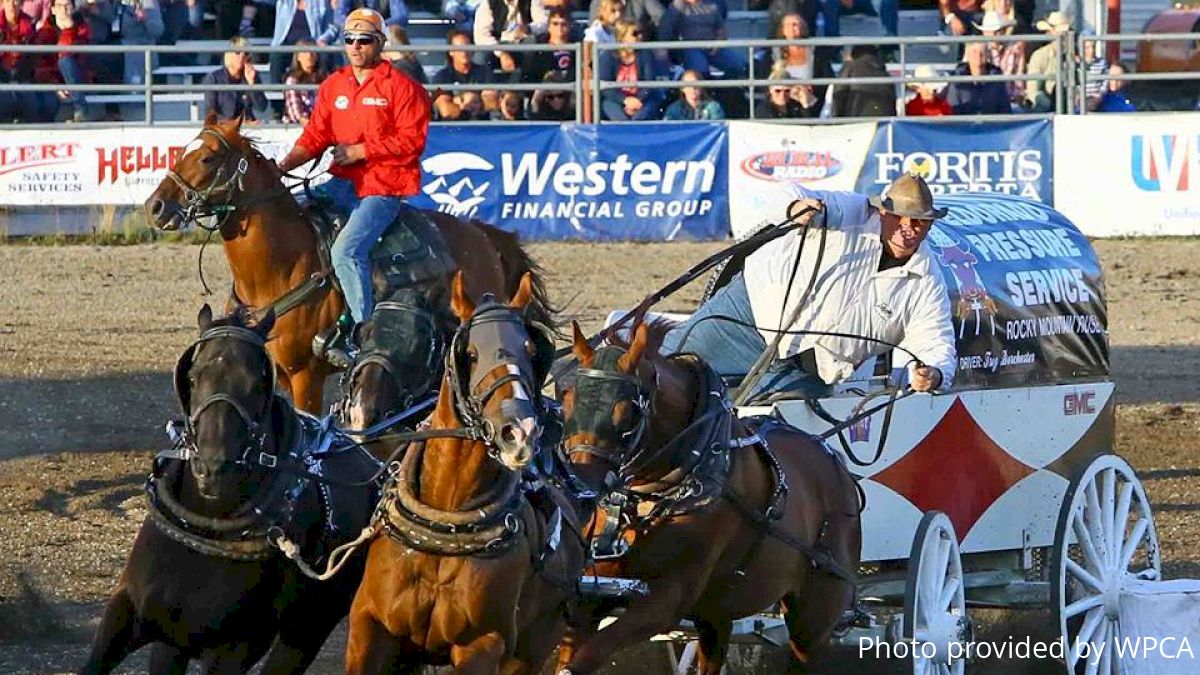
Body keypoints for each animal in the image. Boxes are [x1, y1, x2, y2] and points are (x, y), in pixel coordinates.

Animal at [81, 305, 374, 672]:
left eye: (258, 382)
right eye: (193, 377)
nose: (214, 468)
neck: (209, 527)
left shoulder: (235, 649)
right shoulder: (133, 616)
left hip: (306, 629)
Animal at [144, 112, 544, 413]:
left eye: (207, 158)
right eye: (181, 151)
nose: (155, 207)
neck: (281, 269)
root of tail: (481, 235)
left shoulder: (305, 375)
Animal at [345, 270, 588, 667]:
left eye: (531, 351)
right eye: (471, 354)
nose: (519, 431)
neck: (447, 521)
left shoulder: (482, 643)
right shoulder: (369, 626)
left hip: (535, 642)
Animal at [556, 314, 868, 672]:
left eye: (628, 413)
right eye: (566, 401)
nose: (581, 486)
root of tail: (838, 467)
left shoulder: (669, 598)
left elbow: (586, 658)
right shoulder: (593, 592)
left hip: (814, 619)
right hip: (717, 613)